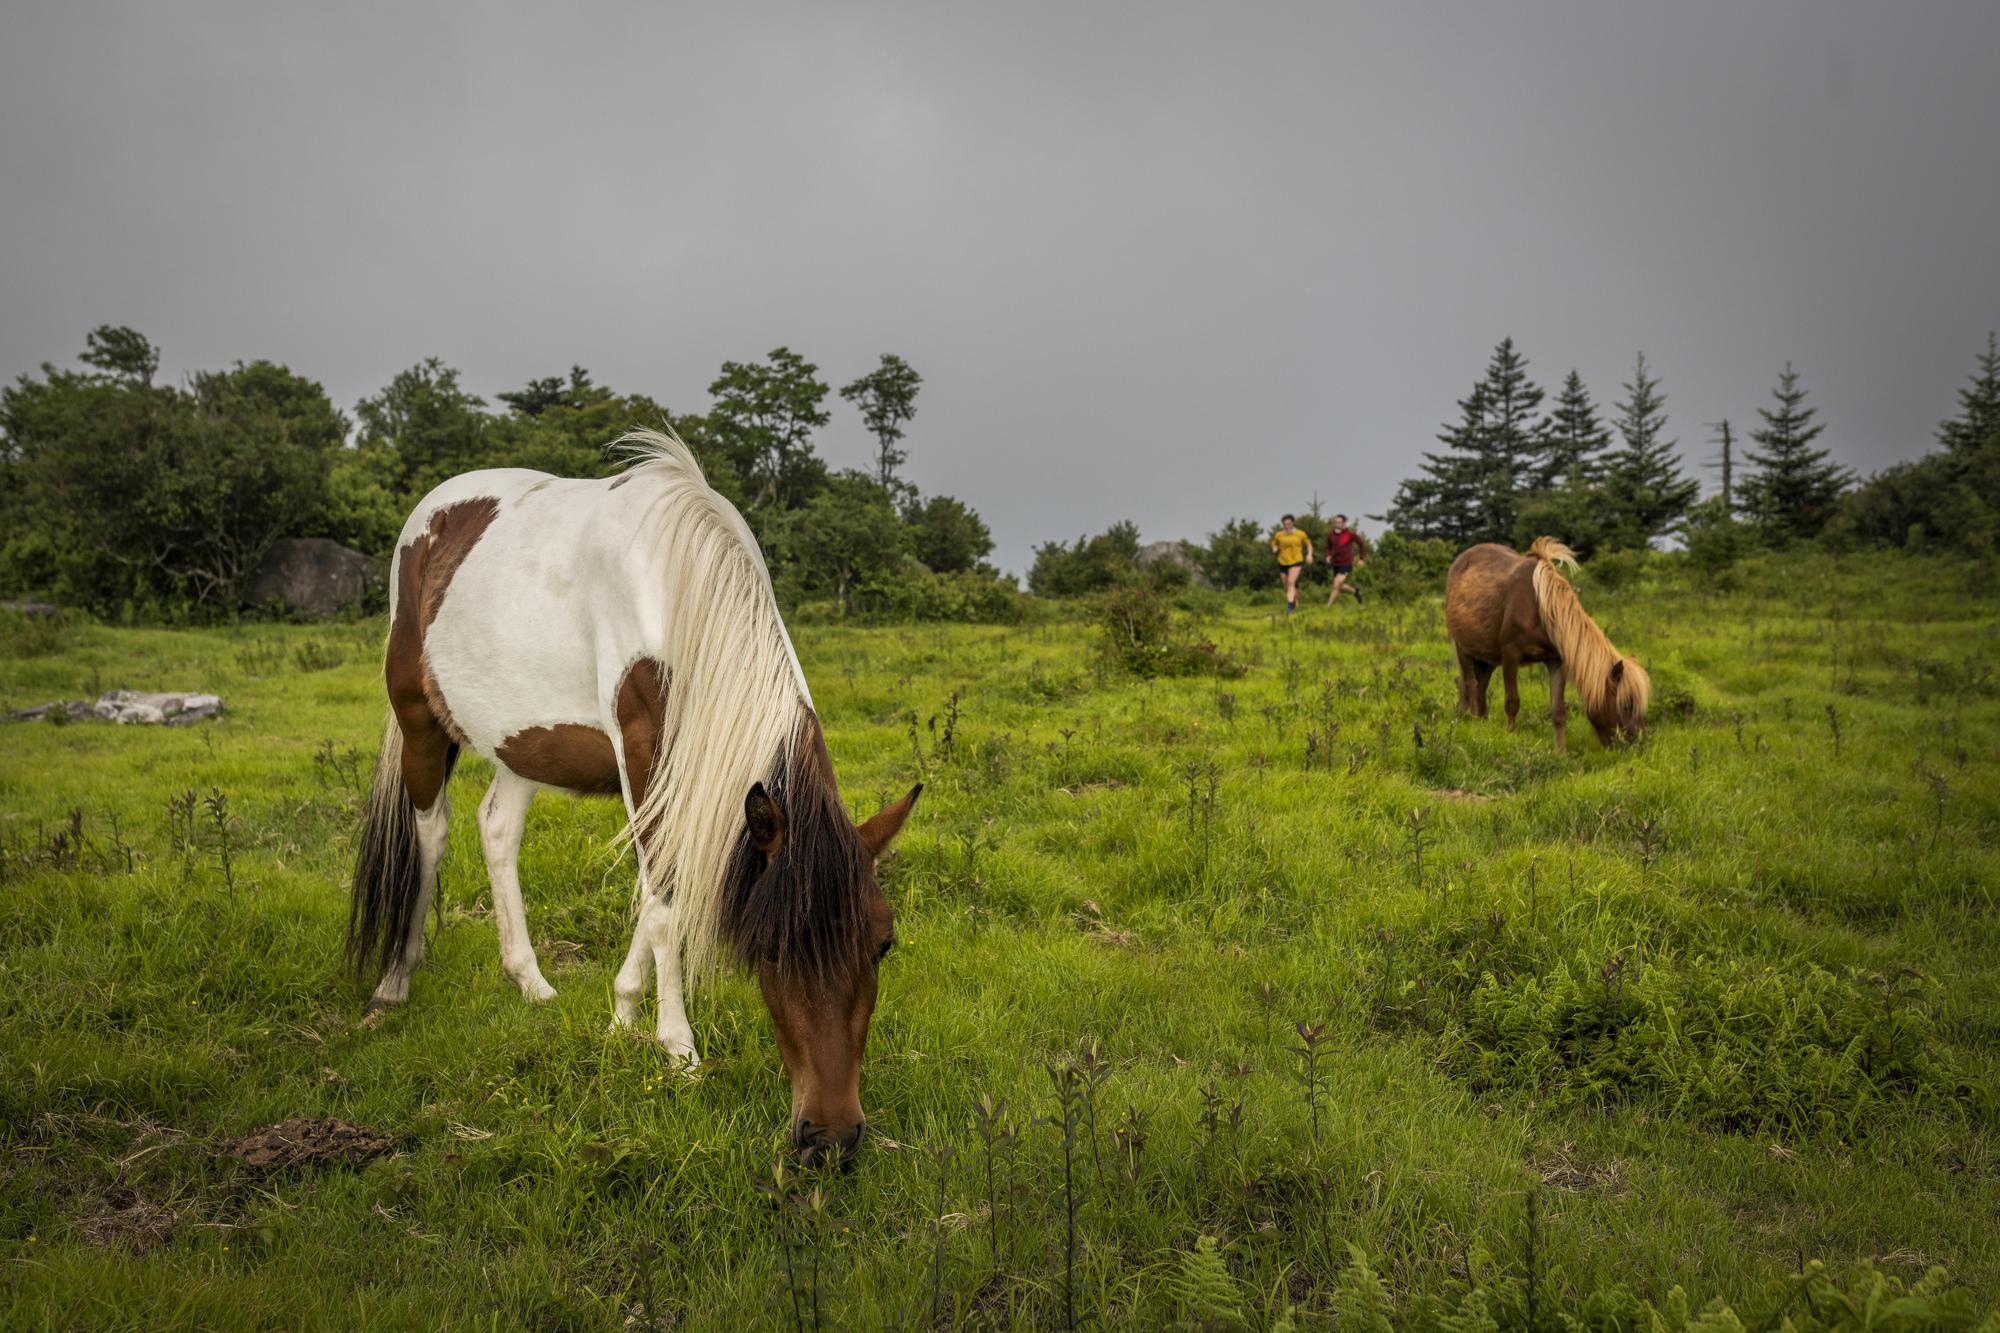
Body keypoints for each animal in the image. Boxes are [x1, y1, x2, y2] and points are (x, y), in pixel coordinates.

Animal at [352, 430, 920, 1160]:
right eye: (768, 949)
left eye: (883, 944)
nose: (832, 1139)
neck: (682, 592)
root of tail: (435, 511)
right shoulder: (642, 752)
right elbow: (667, 899)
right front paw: (678, 1049)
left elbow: (654, 899)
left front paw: (623, 1014)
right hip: (419, 719)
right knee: (430, 834)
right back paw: (392, 985)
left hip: (522, 742)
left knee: (497, 829)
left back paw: (530, 981)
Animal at [1448, 536, 1648, 748]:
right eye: (1627, 704)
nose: (1641, 741)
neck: (1541, 610)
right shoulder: (1510, 655)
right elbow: (1512, 702)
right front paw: (1510, 737)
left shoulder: (1556, 661)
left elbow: (1558, 711)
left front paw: (1561, 751)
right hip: (1463, 648)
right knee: (1471, 684)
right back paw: (1475, 723)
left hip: (1488, 656)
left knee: (1481, 685)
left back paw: (1482, 723)